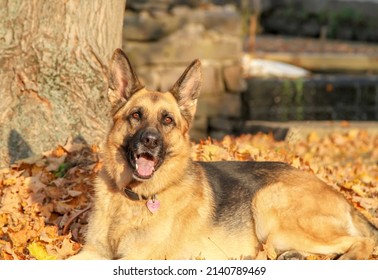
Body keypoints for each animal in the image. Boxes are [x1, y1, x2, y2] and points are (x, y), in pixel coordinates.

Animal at [68, 48, 378, 260]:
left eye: (167, 120)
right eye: (135, 115)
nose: (150, 141)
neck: (132, 196)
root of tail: (340, 196)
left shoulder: (138, 257)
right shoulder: (91, 251)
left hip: (270, 205)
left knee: (363, 243)